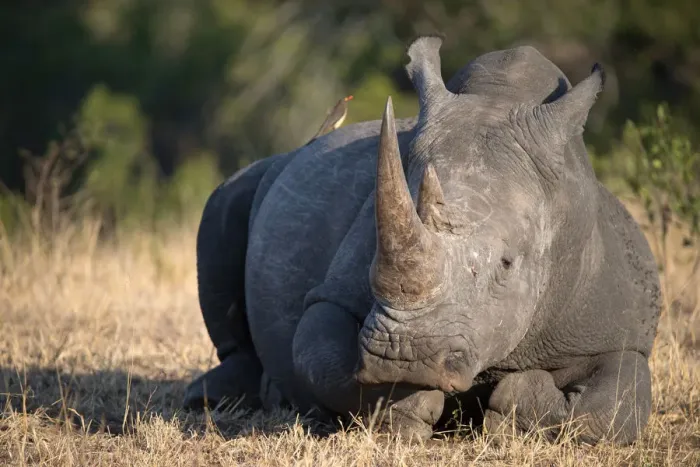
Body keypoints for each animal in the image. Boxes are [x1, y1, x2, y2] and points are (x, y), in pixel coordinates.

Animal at [184, 36, 661, 445]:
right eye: (374, 251)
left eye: (507, 264)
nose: (405, 356)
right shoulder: (333, 295)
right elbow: (322, 360)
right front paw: (408, 404)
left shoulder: (616, 327)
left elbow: (614, 408)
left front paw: (511, 402)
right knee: (227, 201)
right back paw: (221, 396)